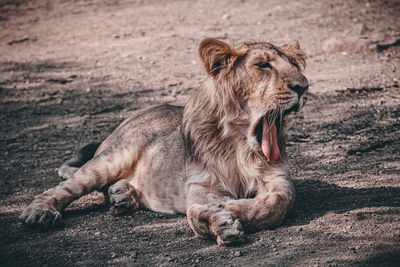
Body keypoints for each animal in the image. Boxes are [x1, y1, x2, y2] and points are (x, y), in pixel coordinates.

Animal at [20, 38, 308, 246]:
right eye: (263, 65)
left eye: (294, 65)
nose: (304, 86)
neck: (239, 145)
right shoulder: (200, 186)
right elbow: (196, 211)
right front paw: (220, 219)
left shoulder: (277, 176)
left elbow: (278, 202)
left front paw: (232, 208)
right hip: (110, 159)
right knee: (62, 188)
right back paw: (39, 213)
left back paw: (122, 196)